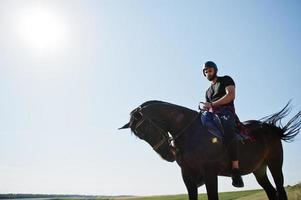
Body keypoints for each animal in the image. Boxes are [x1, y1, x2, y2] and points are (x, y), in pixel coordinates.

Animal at [118, 101, 298, 199]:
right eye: (140, 136)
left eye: (146, 130)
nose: (168, 155)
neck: (189, 131)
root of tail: (269, 128)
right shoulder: (187, 175)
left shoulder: (210, 172)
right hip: (259, 169)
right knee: (271, 191)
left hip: (275, 164)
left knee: (280, 189)